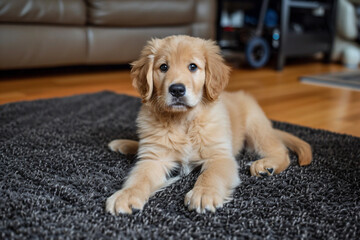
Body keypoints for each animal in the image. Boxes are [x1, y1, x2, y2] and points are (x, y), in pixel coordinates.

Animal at [105, 35, 312, 216]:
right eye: (163, 67)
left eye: (193, 67)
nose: (177, 90)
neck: (184, 121)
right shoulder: (154, 158)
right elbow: (140, 177)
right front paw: (127, 195)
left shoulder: (220, 156)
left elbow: (211, 175)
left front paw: (204, 193)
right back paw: (124, 144)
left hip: (256, 128)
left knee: (280, 150)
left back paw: (266, 165)